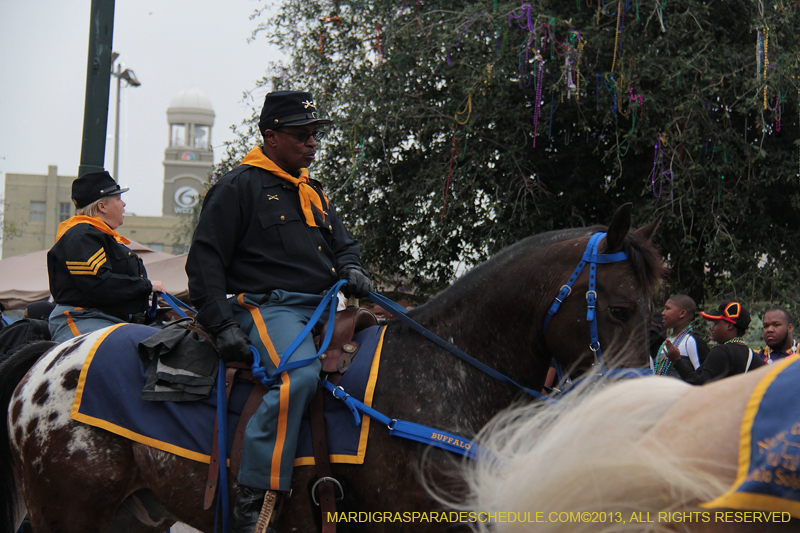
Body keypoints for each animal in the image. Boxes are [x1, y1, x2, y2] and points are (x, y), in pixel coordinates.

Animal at [1, 204, 664, 532]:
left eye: (658, 318)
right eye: (621, 308)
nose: (644, 412)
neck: (435, 379)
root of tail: (47, 363)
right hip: (68, 512)